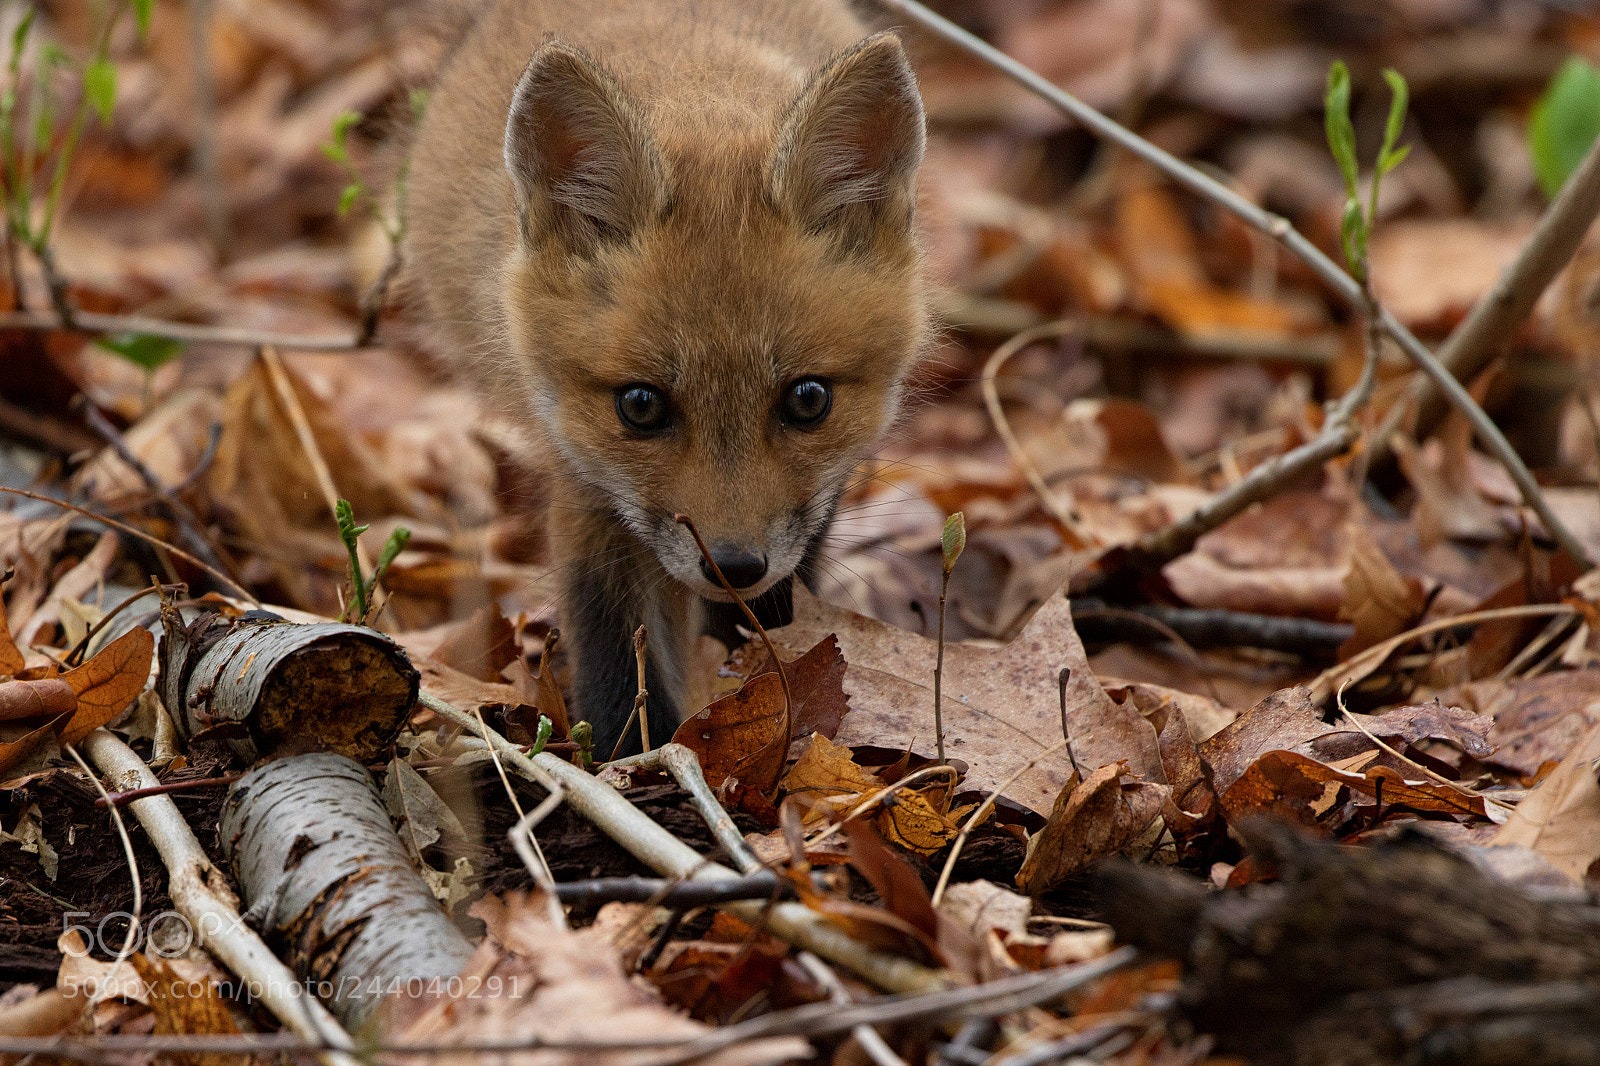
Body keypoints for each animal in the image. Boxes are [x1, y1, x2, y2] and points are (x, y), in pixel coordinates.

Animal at [405, 0, 929, 758]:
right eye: (641, 406)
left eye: (808, 400)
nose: (733, 567)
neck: (700, 95)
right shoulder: (585, 482)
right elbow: (617, 657)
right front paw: (629, 760)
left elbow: (769, 618)